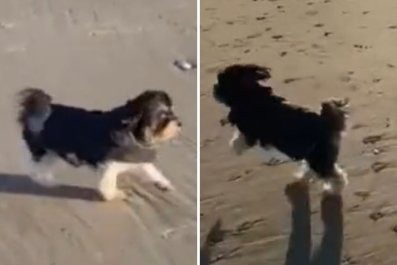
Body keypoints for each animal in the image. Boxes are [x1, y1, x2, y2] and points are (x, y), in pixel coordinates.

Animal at [16, 87, 181, 199]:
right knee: (35, 169)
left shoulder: (137, 159)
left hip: (52, 153)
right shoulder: (110, 165)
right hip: (44, 151)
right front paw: (114, 194)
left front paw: (164, 183)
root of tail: (35, 111)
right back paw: (47, 182)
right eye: (163, 119)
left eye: (172, 113)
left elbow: (152, 171)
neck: (131, 132)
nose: (179, 123)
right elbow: (108, 183)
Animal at [213, 64, 346, 192]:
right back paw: (303, 178)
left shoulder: (250, 132)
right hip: (314, 154)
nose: (214, 88)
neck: (251, 93)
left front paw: (235, 147)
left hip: (318, 155)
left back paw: (334, 188)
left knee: (331, 174)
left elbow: (240, 139)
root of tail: (328, 121)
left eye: (221, 82)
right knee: (315, 169)